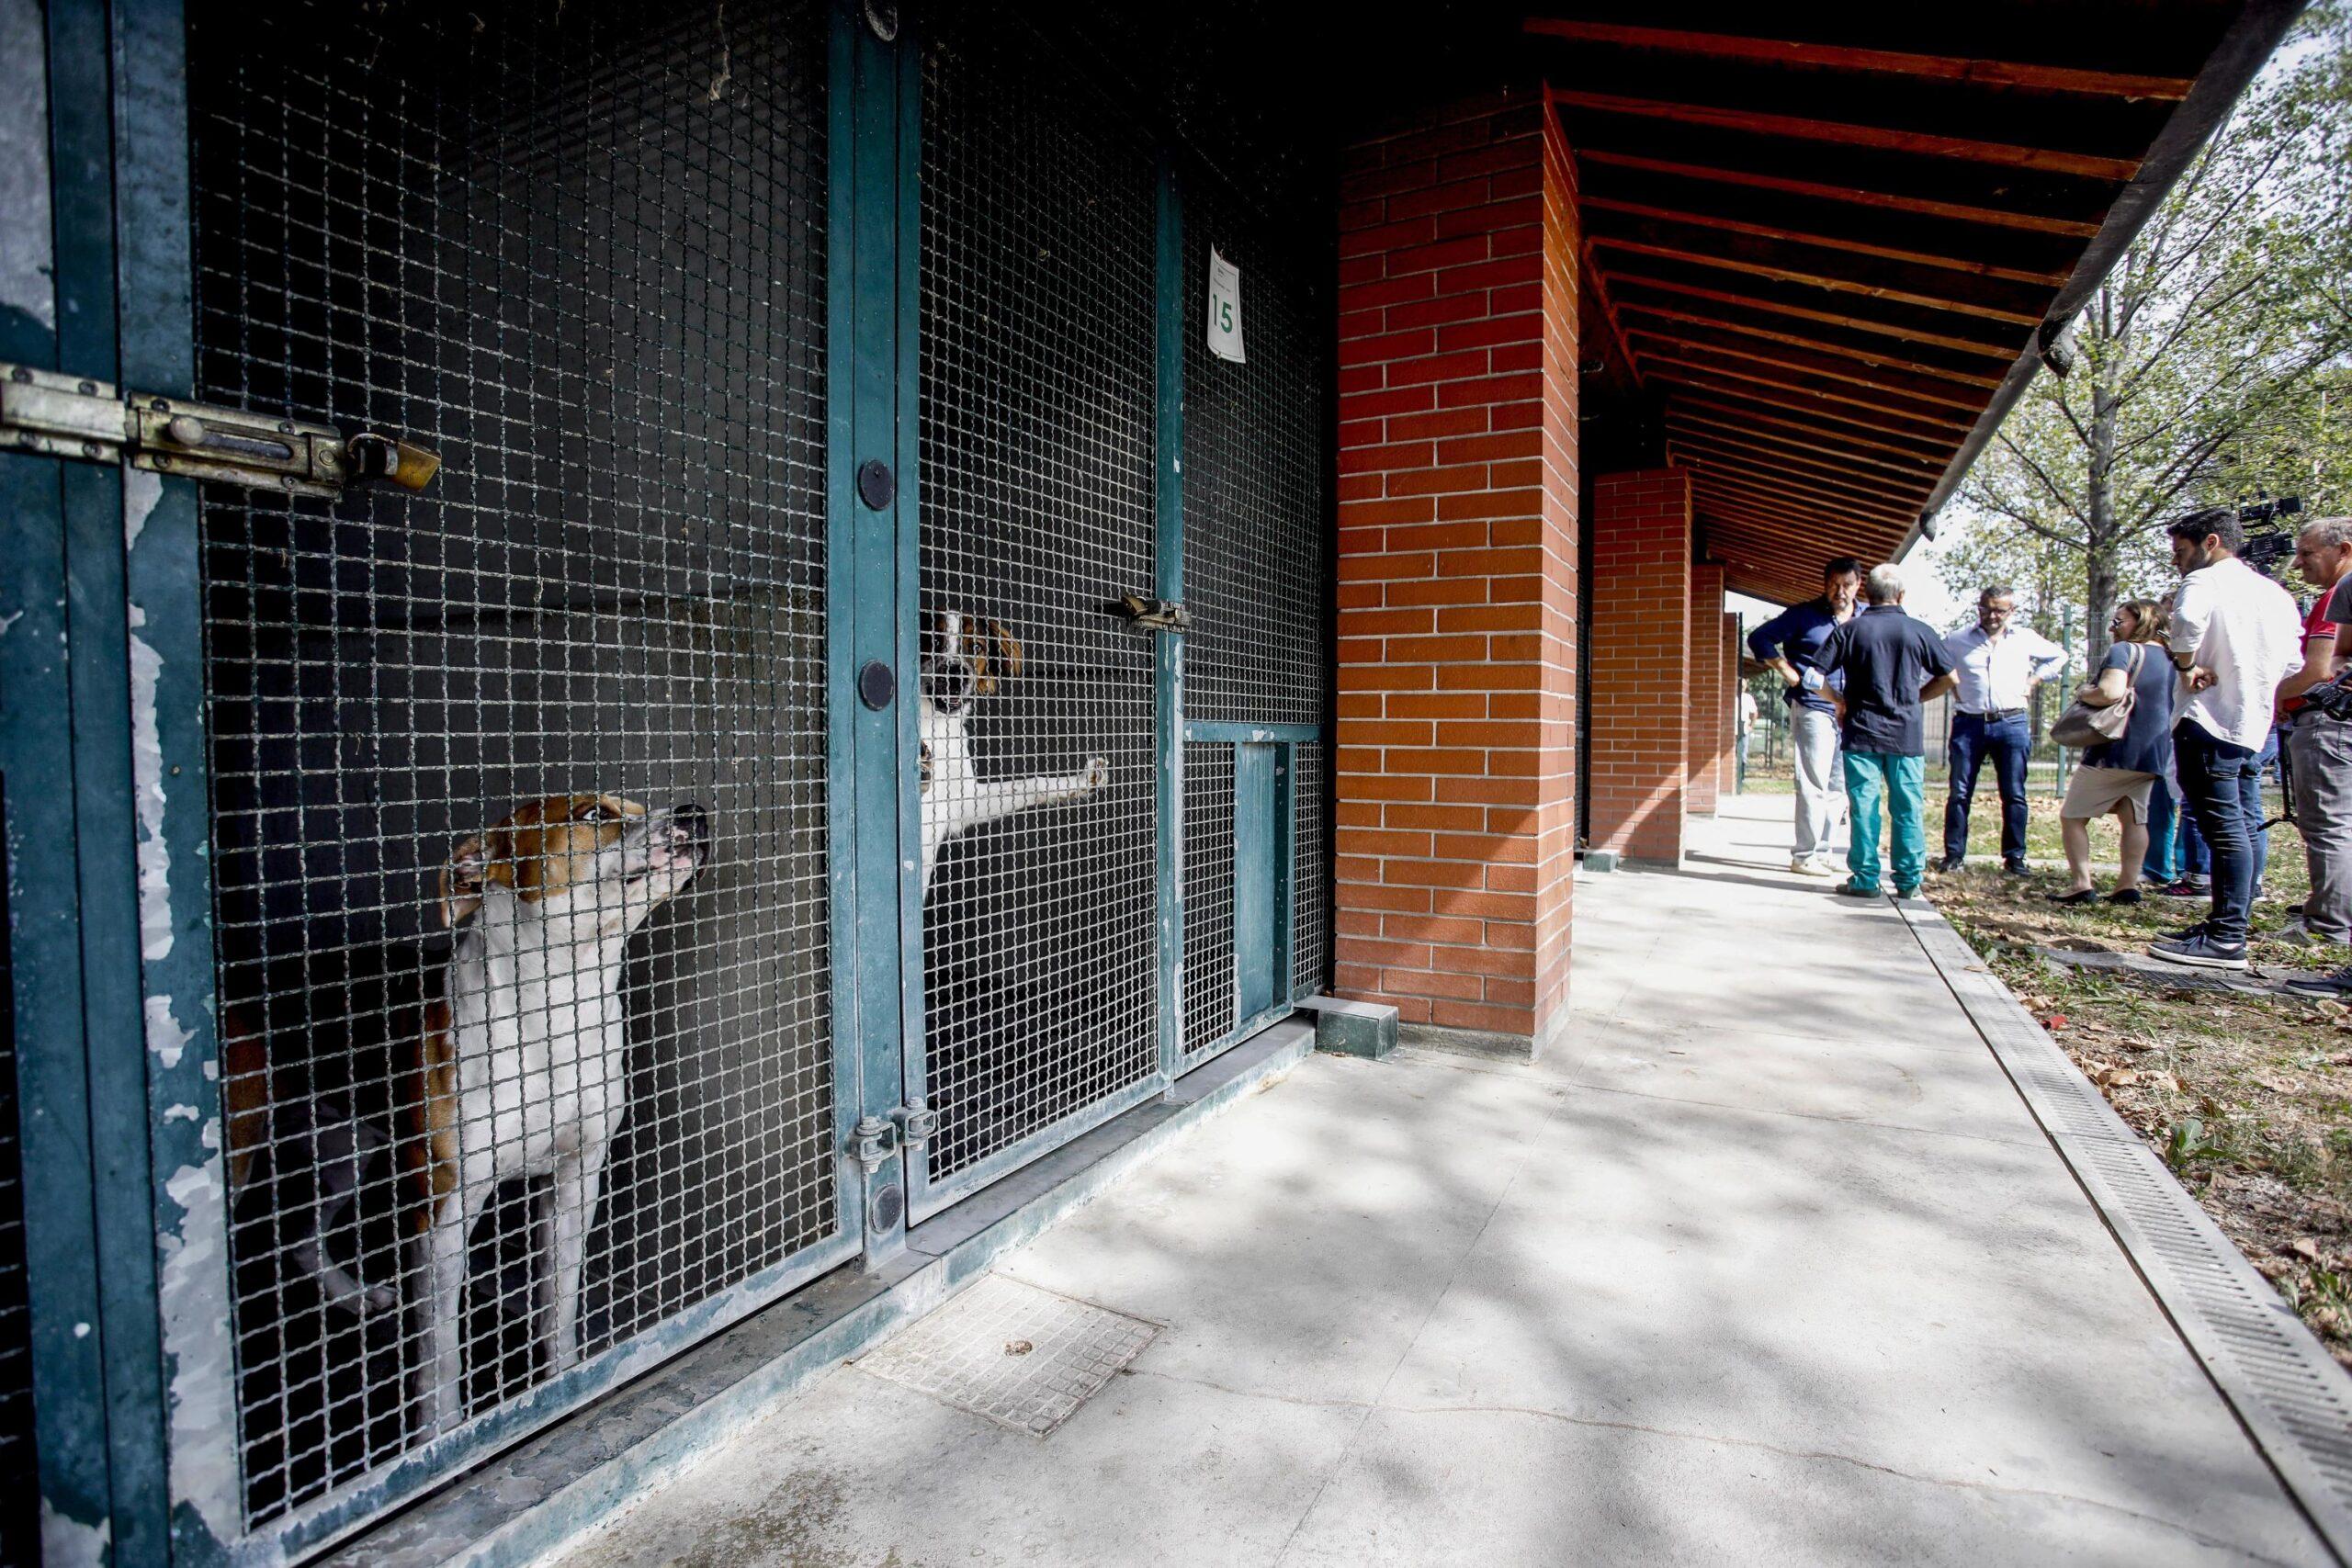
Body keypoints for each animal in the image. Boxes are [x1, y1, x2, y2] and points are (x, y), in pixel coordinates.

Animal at [409, 799, 700, 1438]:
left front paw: (565, 1386)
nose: (697, 813)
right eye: (591, 814)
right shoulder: (443, 1212)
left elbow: (558, 1302)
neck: (563, 996)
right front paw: (444, 1436)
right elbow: (439, 1351)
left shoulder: (575, 1178)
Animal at [912, 615, 1105, 907]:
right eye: (933, 639)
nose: (957, 674)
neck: (936, 725)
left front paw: (1082, 781)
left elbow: (1032, 784)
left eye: (976, 647)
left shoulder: (964, 802)